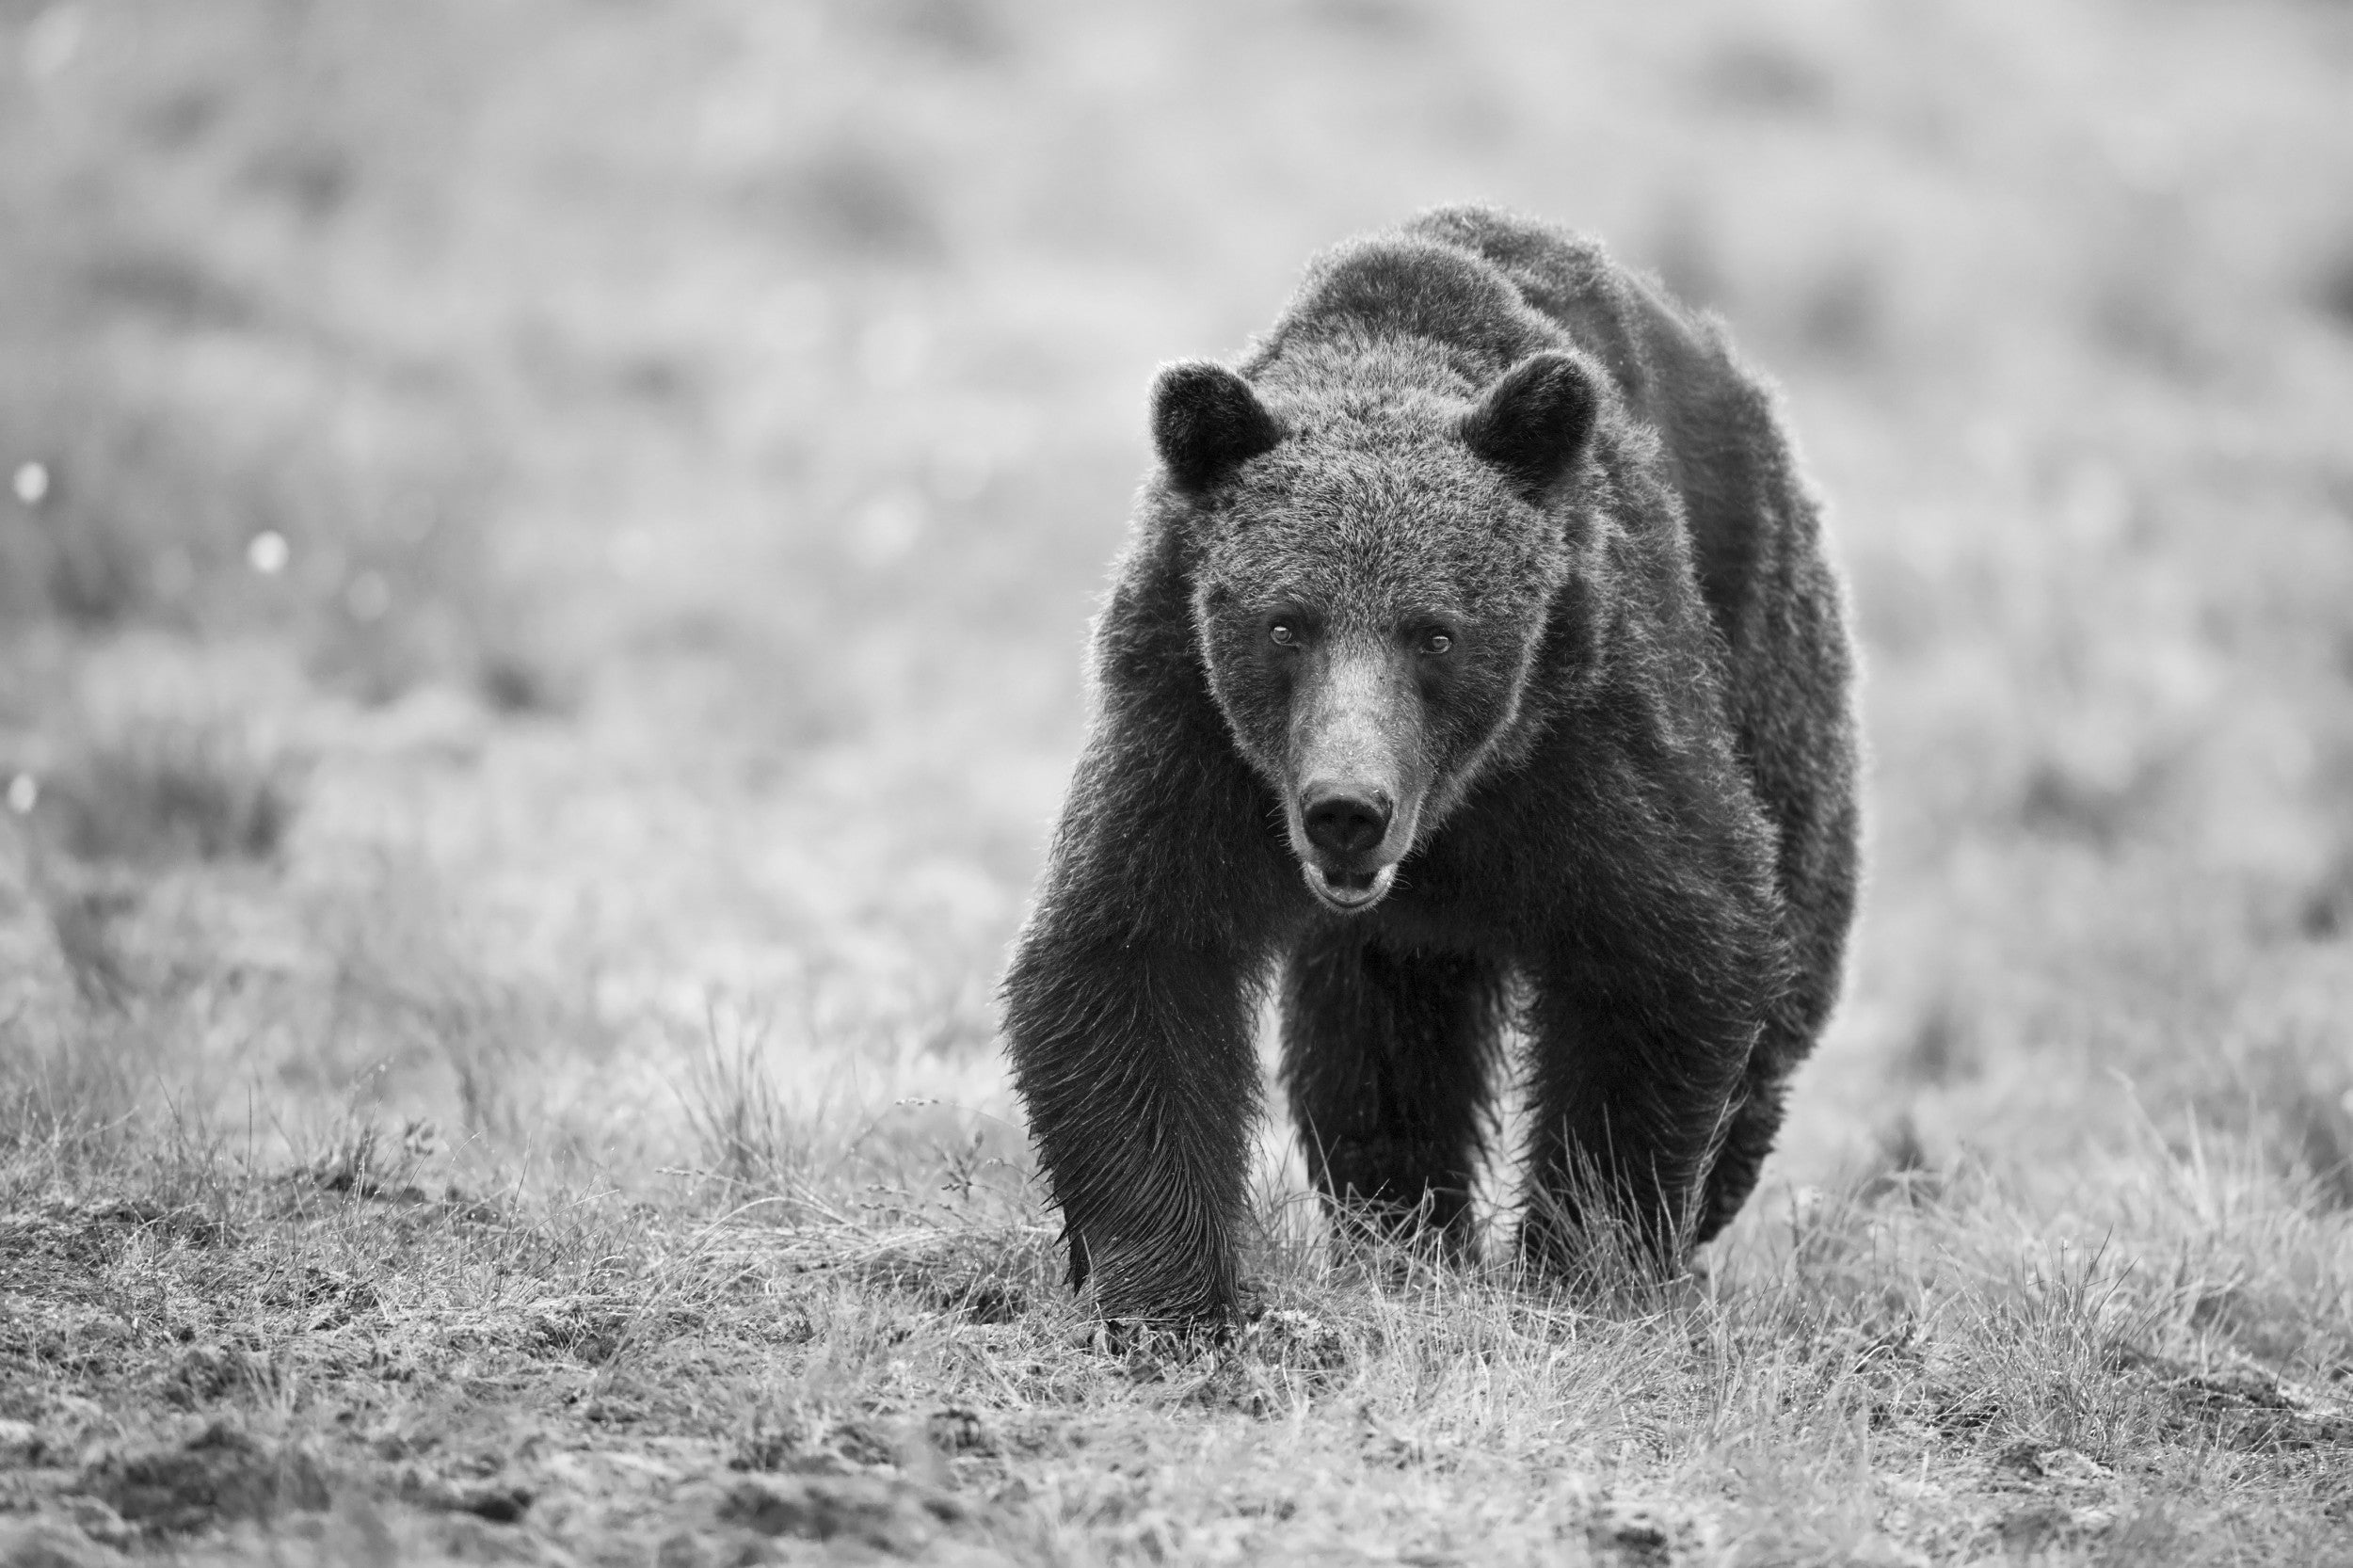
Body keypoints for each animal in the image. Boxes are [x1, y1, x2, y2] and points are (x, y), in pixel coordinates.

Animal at [1001, 204, 1861, 1326]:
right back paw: (1403, 1227)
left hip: (1768, 659)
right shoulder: (1186, 722)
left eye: (1436, 633)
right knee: (1375, 1042)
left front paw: (1587, 1260)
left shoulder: (1591, 718)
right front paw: (1172, 1292)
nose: (1346, 808)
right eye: (1287, 623)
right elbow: (1134, 951)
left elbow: (1669, 949)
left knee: (1785, 957)